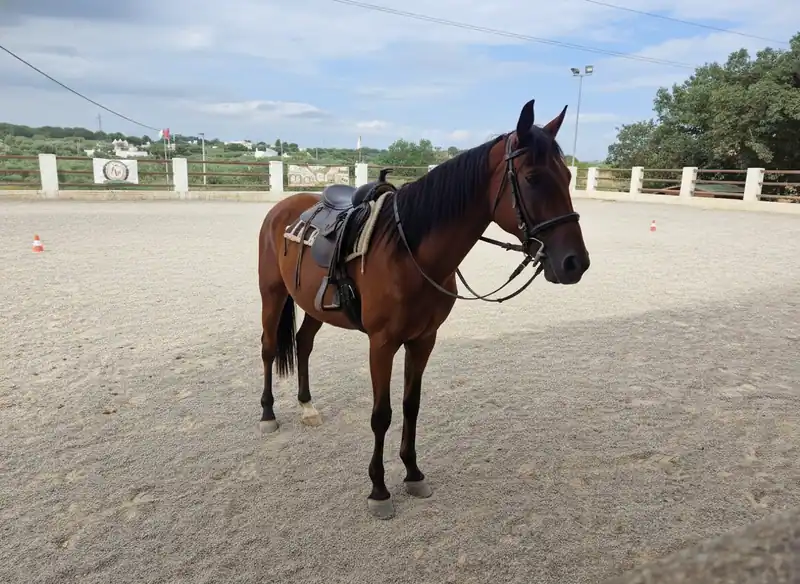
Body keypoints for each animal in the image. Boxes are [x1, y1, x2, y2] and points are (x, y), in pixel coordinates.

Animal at [256, 98, 590, 519]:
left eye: (567, 175)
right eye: (532, 178)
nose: (575, 263)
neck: (408, 251)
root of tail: (283, 207)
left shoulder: (423, 339)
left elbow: (411, 406)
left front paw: (413, 473)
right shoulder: (382, 343)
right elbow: (381, 414)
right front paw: (379, 490)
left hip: (314, 307)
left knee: (303, 344)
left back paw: (307, 407)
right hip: (272, 294)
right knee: (269, 348)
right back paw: (268, 415)